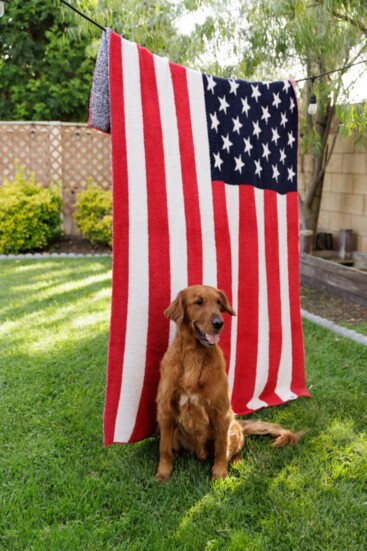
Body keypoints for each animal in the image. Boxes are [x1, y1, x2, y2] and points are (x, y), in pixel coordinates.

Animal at [155, 286, 302, 480]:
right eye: (198, 302)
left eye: (218, 302)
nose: (219, 323)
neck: (194, 355)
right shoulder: (166, 411)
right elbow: (164, 449)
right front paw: (163, 474)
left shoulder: (221, 412)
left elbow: (221, 449)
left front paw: (219, 475)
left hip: (232, 428)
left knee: (233, 450)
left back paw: (236, 462)